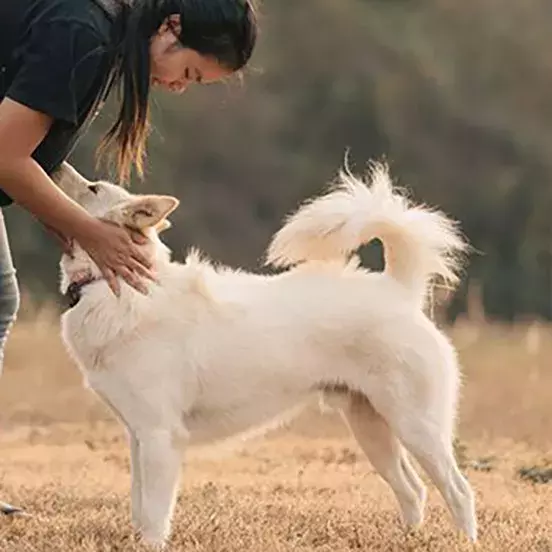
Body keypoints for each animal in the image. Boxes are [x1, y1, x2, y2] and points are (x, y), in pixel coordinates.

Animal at [57, 162, 478, 544]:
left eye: (93, 188)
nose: (56, 164)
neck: (111, 286)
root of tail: (399, 291)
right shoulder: (138, 436)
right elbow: (138, 504)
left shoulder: (161, 437)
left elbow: (154, 515)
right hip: (372, 428)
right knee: (413, 490)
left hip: (417, 426)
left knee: (459, 492)